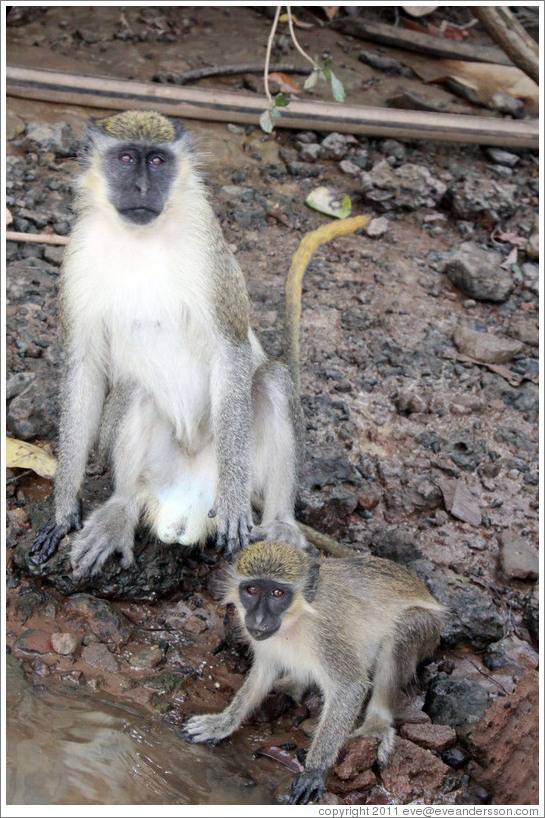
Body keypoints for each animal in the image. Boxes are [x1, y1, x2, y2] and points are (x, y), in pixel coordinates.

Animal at [30, 111, 370, 576]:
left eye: (157, 160)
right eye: (126, 157)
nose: (142, 188)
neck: (140, 240)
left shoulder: (209, 250)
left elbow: (231, 350)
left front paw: (233, 503)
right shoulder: (76, 258)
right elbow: (83, 367)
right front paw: (64, 509)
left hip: (240, 463)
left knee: (273, 379)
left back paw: (278, 521)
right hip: (158, 469)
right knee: (136, 392)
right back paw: (120, 508)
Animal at [183, 540, 442, 800]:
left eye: (277, 593)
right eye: (252, 590)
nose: (258, 618)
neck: (296, 618)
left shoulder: (324, 634)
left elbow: (350, 687)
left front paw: (314, 771)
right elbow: (263, 673)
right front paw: (222, 723)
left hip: (428, 629)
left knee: (401, 633)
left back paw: (377, 722)